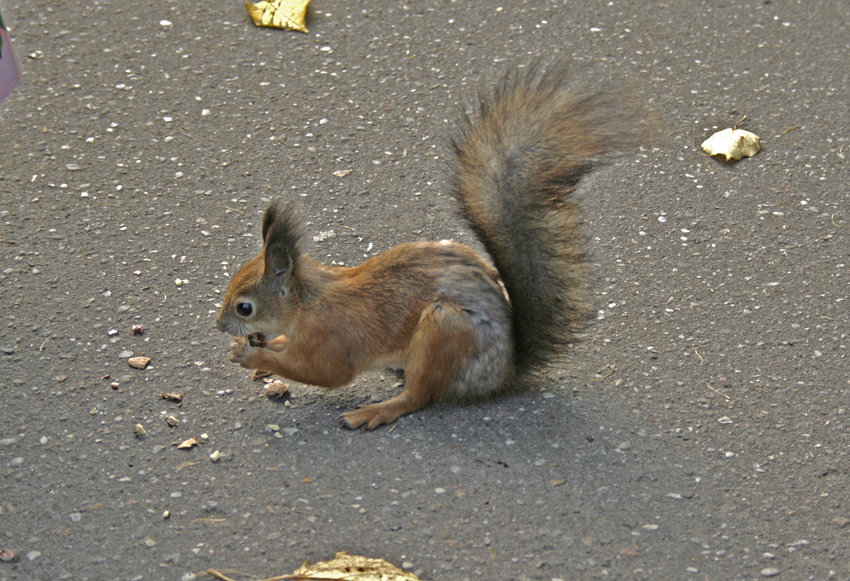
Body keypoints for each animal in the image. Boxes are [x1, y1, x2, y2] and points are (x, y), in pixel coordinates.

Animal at [215, 63, 640, 428]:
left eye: (245, 307)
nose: (220, 326)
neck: (309, 301)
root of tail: (503, 373)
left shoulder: (334, 338)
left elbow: (325, 372)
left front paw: (252, 354)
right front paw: (263, 351)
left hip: (444, 332)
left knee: (418, 397)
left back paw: (376, 411)